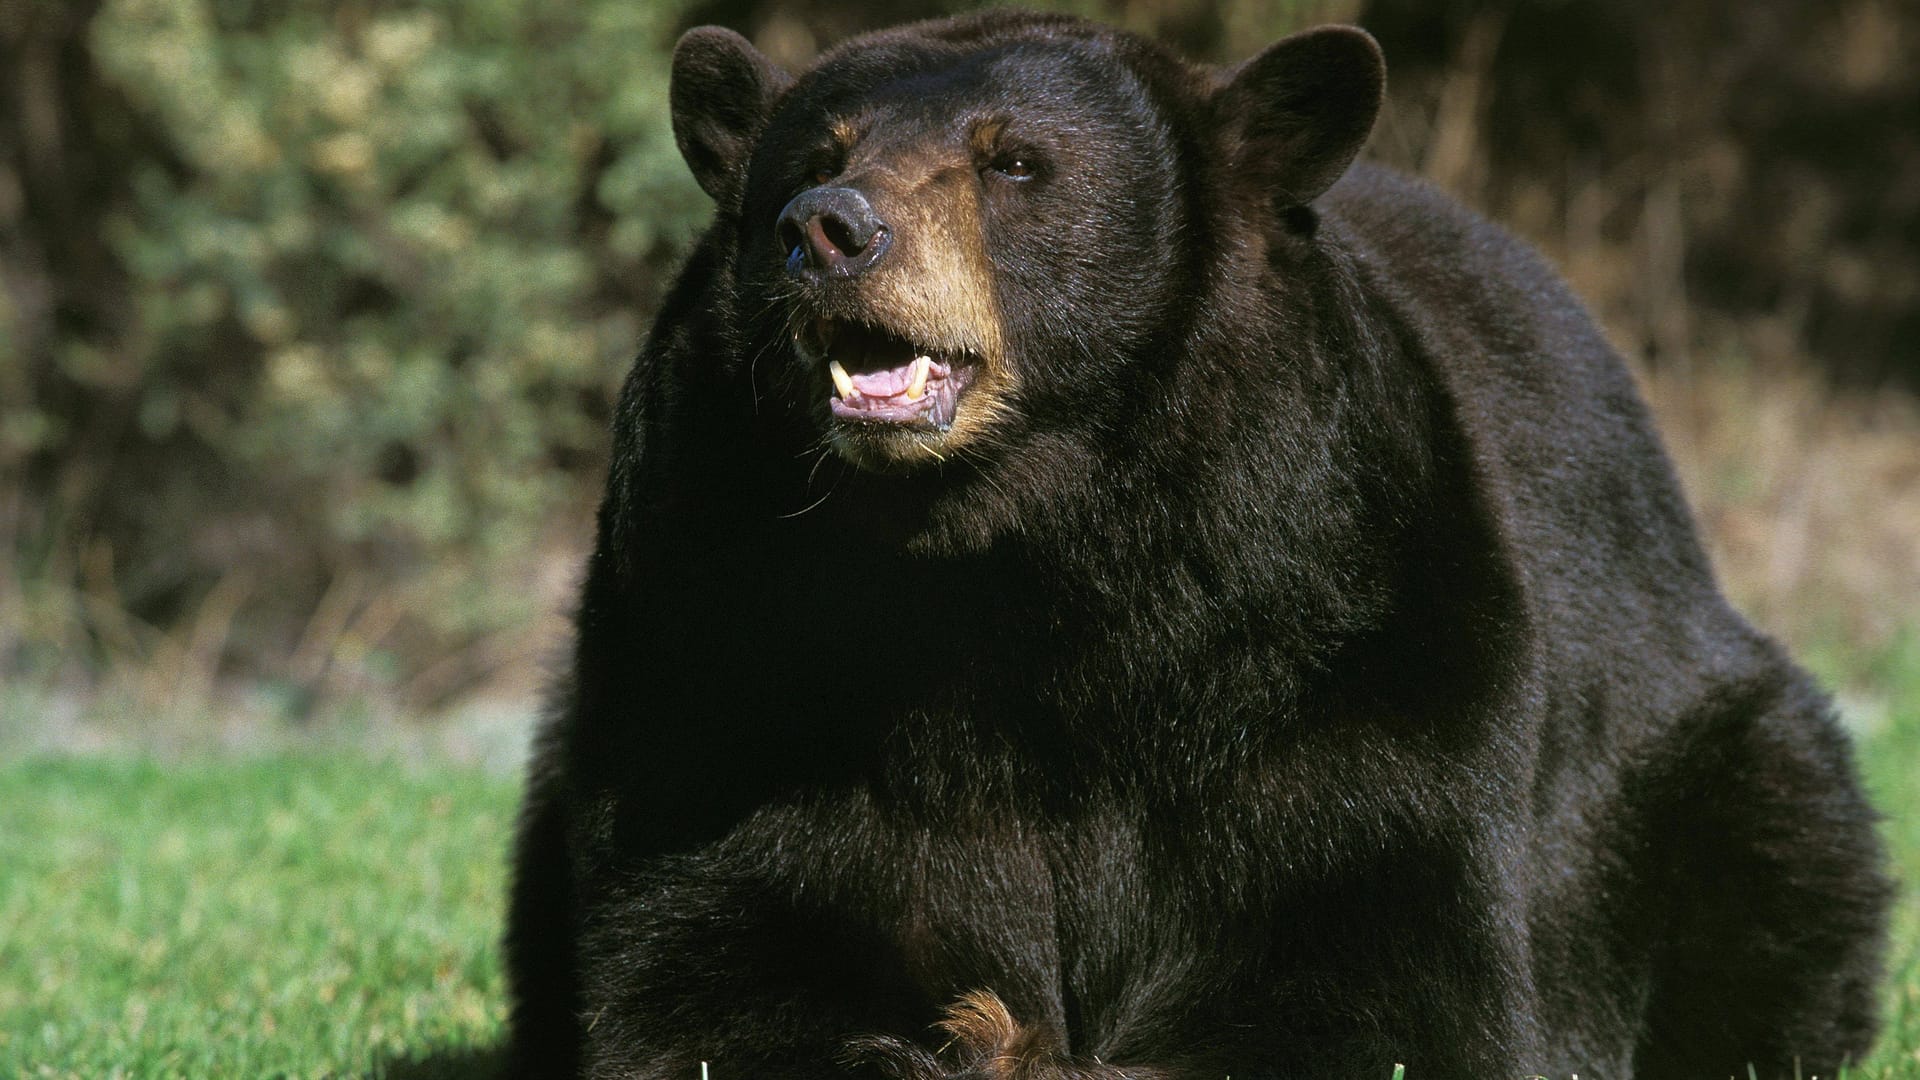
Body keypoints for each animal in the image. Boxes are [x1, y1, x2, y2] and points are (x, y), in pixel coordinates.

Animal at [499, 10, 1889, 1076]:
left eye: (1013, 162)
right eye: (813, 157)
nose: (827, 230)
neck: (1010, 558)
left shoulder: (1333, 634)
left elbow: (1384, 985)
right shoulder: (723, 640)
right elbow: (714, 960)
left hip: (1704, 754)